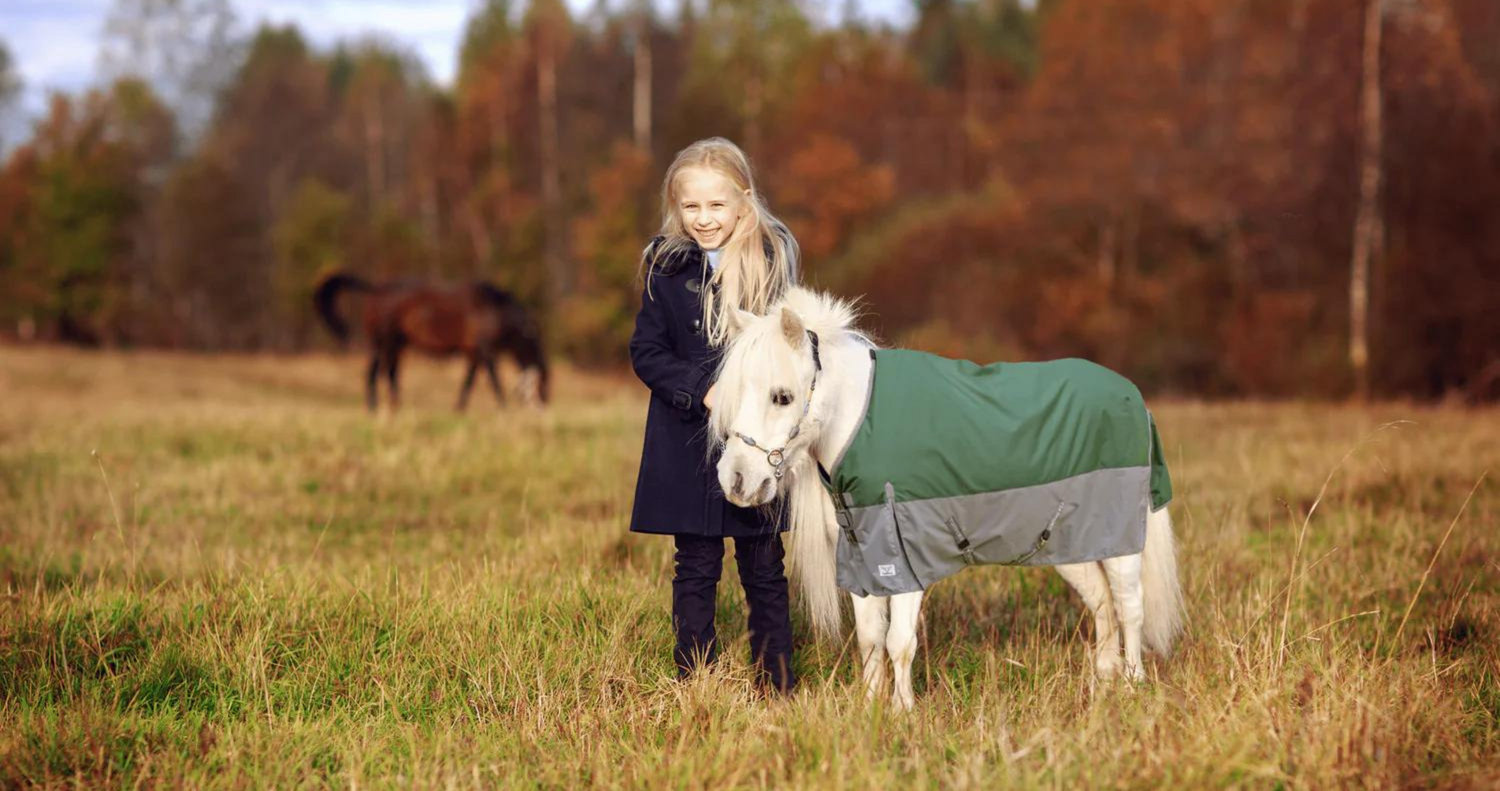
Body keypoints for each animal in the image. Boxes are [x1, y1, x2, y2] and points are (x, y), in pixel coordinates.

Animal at [312, 273, 552, 411]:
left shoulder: (473, 352)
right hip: (384, 341)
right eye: (542, 385)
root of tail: (377, 289)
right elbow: (494, 379)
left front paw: (459, 408)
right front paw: (503, 406)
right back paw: (376, 406)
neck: (498, 311)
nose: (545, 406)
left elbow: (469, 381)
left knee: (390, 372)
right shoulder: (485, 350)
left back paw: (396, 404)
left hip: (397, 343)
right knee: (376, 371)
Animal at [714, 288, 1182, 708]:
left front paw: (902, 713)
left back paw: (1133, 685)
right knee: (1101, 603)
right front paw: (870, 709)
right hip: (1066, 543)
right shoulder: (862, 556)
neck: (864, 424)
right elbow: (870, 640)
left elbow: (899, 641)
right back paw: (1104, 681)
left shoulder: (908, 558)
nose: (736, 481)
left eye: (782, 396)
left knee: (1129, 606)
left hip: (1121, 538)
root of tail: (1135, 399)